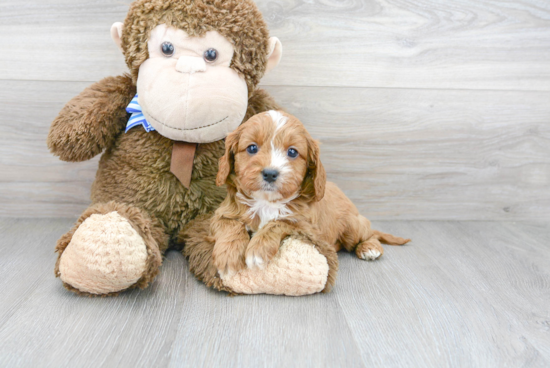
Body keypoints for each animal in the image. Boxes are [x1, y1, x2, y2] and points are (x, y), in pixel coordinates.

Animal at [211, 110, 410, 274]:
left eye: (292, 152)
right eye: (252, 148)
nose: (270, 173)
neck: (267, 201)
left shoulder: (307, 226)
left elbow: (278, 222)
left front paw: (258, 249)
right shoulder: (221, 213)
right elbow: (230, 225)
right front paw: (228, 256)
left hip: (352, 226)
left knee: (370, 234)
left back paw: (369, 248)